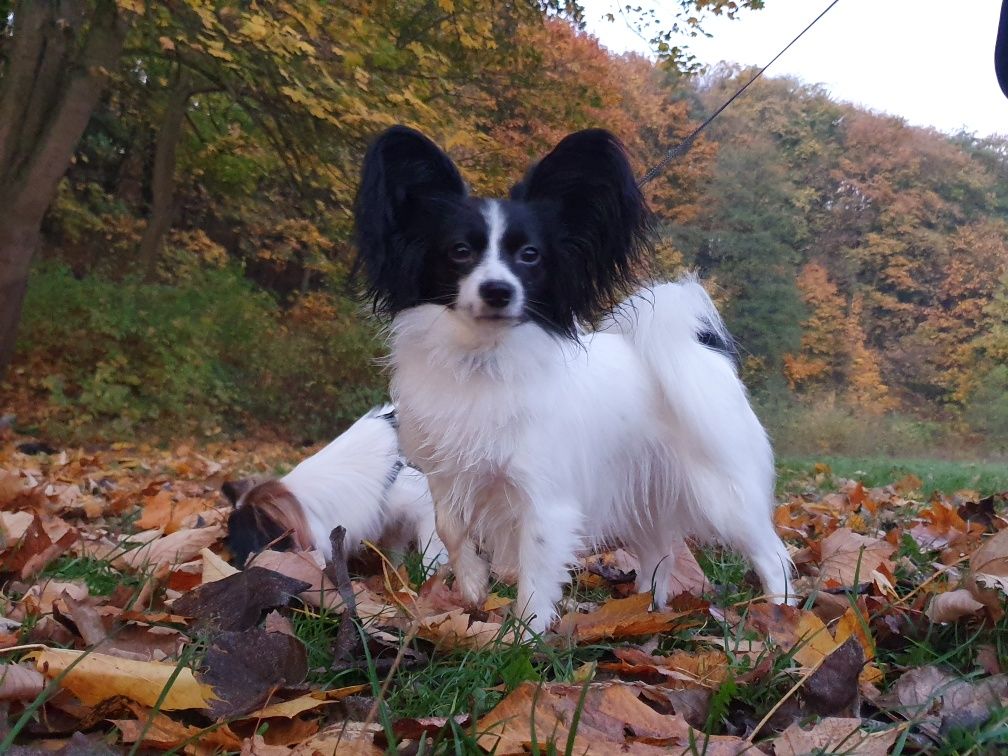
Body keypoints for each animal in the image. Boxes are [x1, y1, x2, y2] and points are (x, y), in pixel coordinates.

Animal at [228, 405, 449, 572]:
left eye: (251, 541)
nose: (236, 567)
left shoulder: (425, 511)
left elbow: (431, 556)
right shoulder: (393, 521)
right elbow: (396, 553)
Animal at [354, 126, 794, 633]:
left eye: (530, 256)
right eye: (459, 252)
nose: (498, 290)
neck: (485, 360)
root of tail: (701, 348)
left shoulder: (546, 499)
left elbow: (535, 574)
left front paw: (523, 639)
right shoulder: (448, 476)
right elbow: (452, 528)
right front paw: (473, 587)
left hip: (724, 495)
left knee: (772, 555)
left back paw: (782, 618)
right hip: (642, 497)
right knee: (657, 557)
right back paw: (640, 613)